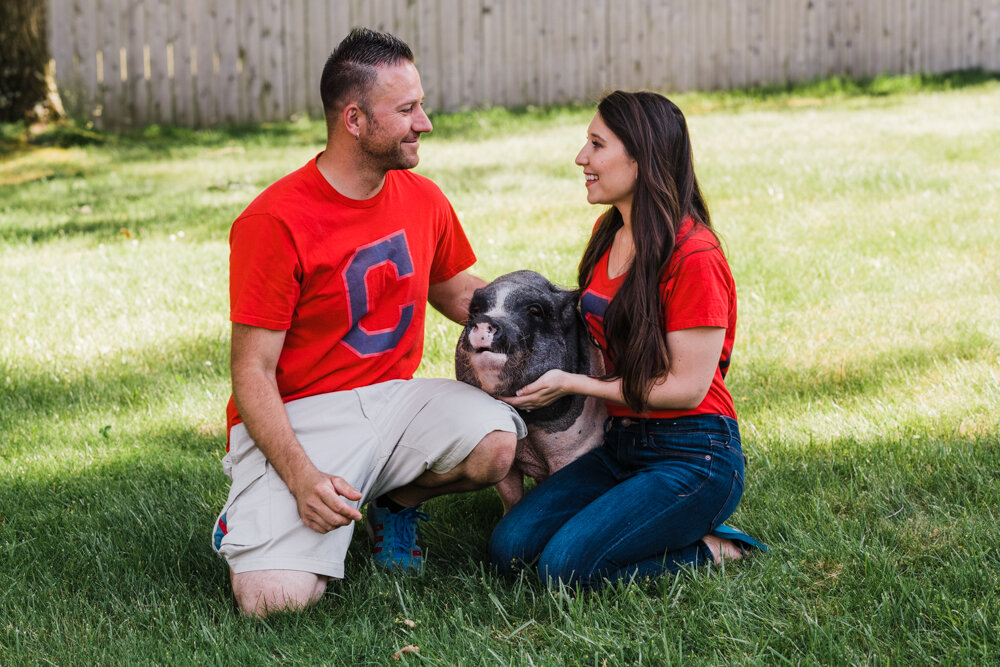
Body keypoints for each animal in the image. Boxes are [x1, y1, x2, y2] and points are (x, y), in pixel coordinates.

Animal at [458, 270, 604, 512]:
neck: (528, 425)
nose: (485, 320)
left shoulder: (575, 449)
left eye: (535, 310)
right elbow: (510, 496)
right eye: (476, 310)